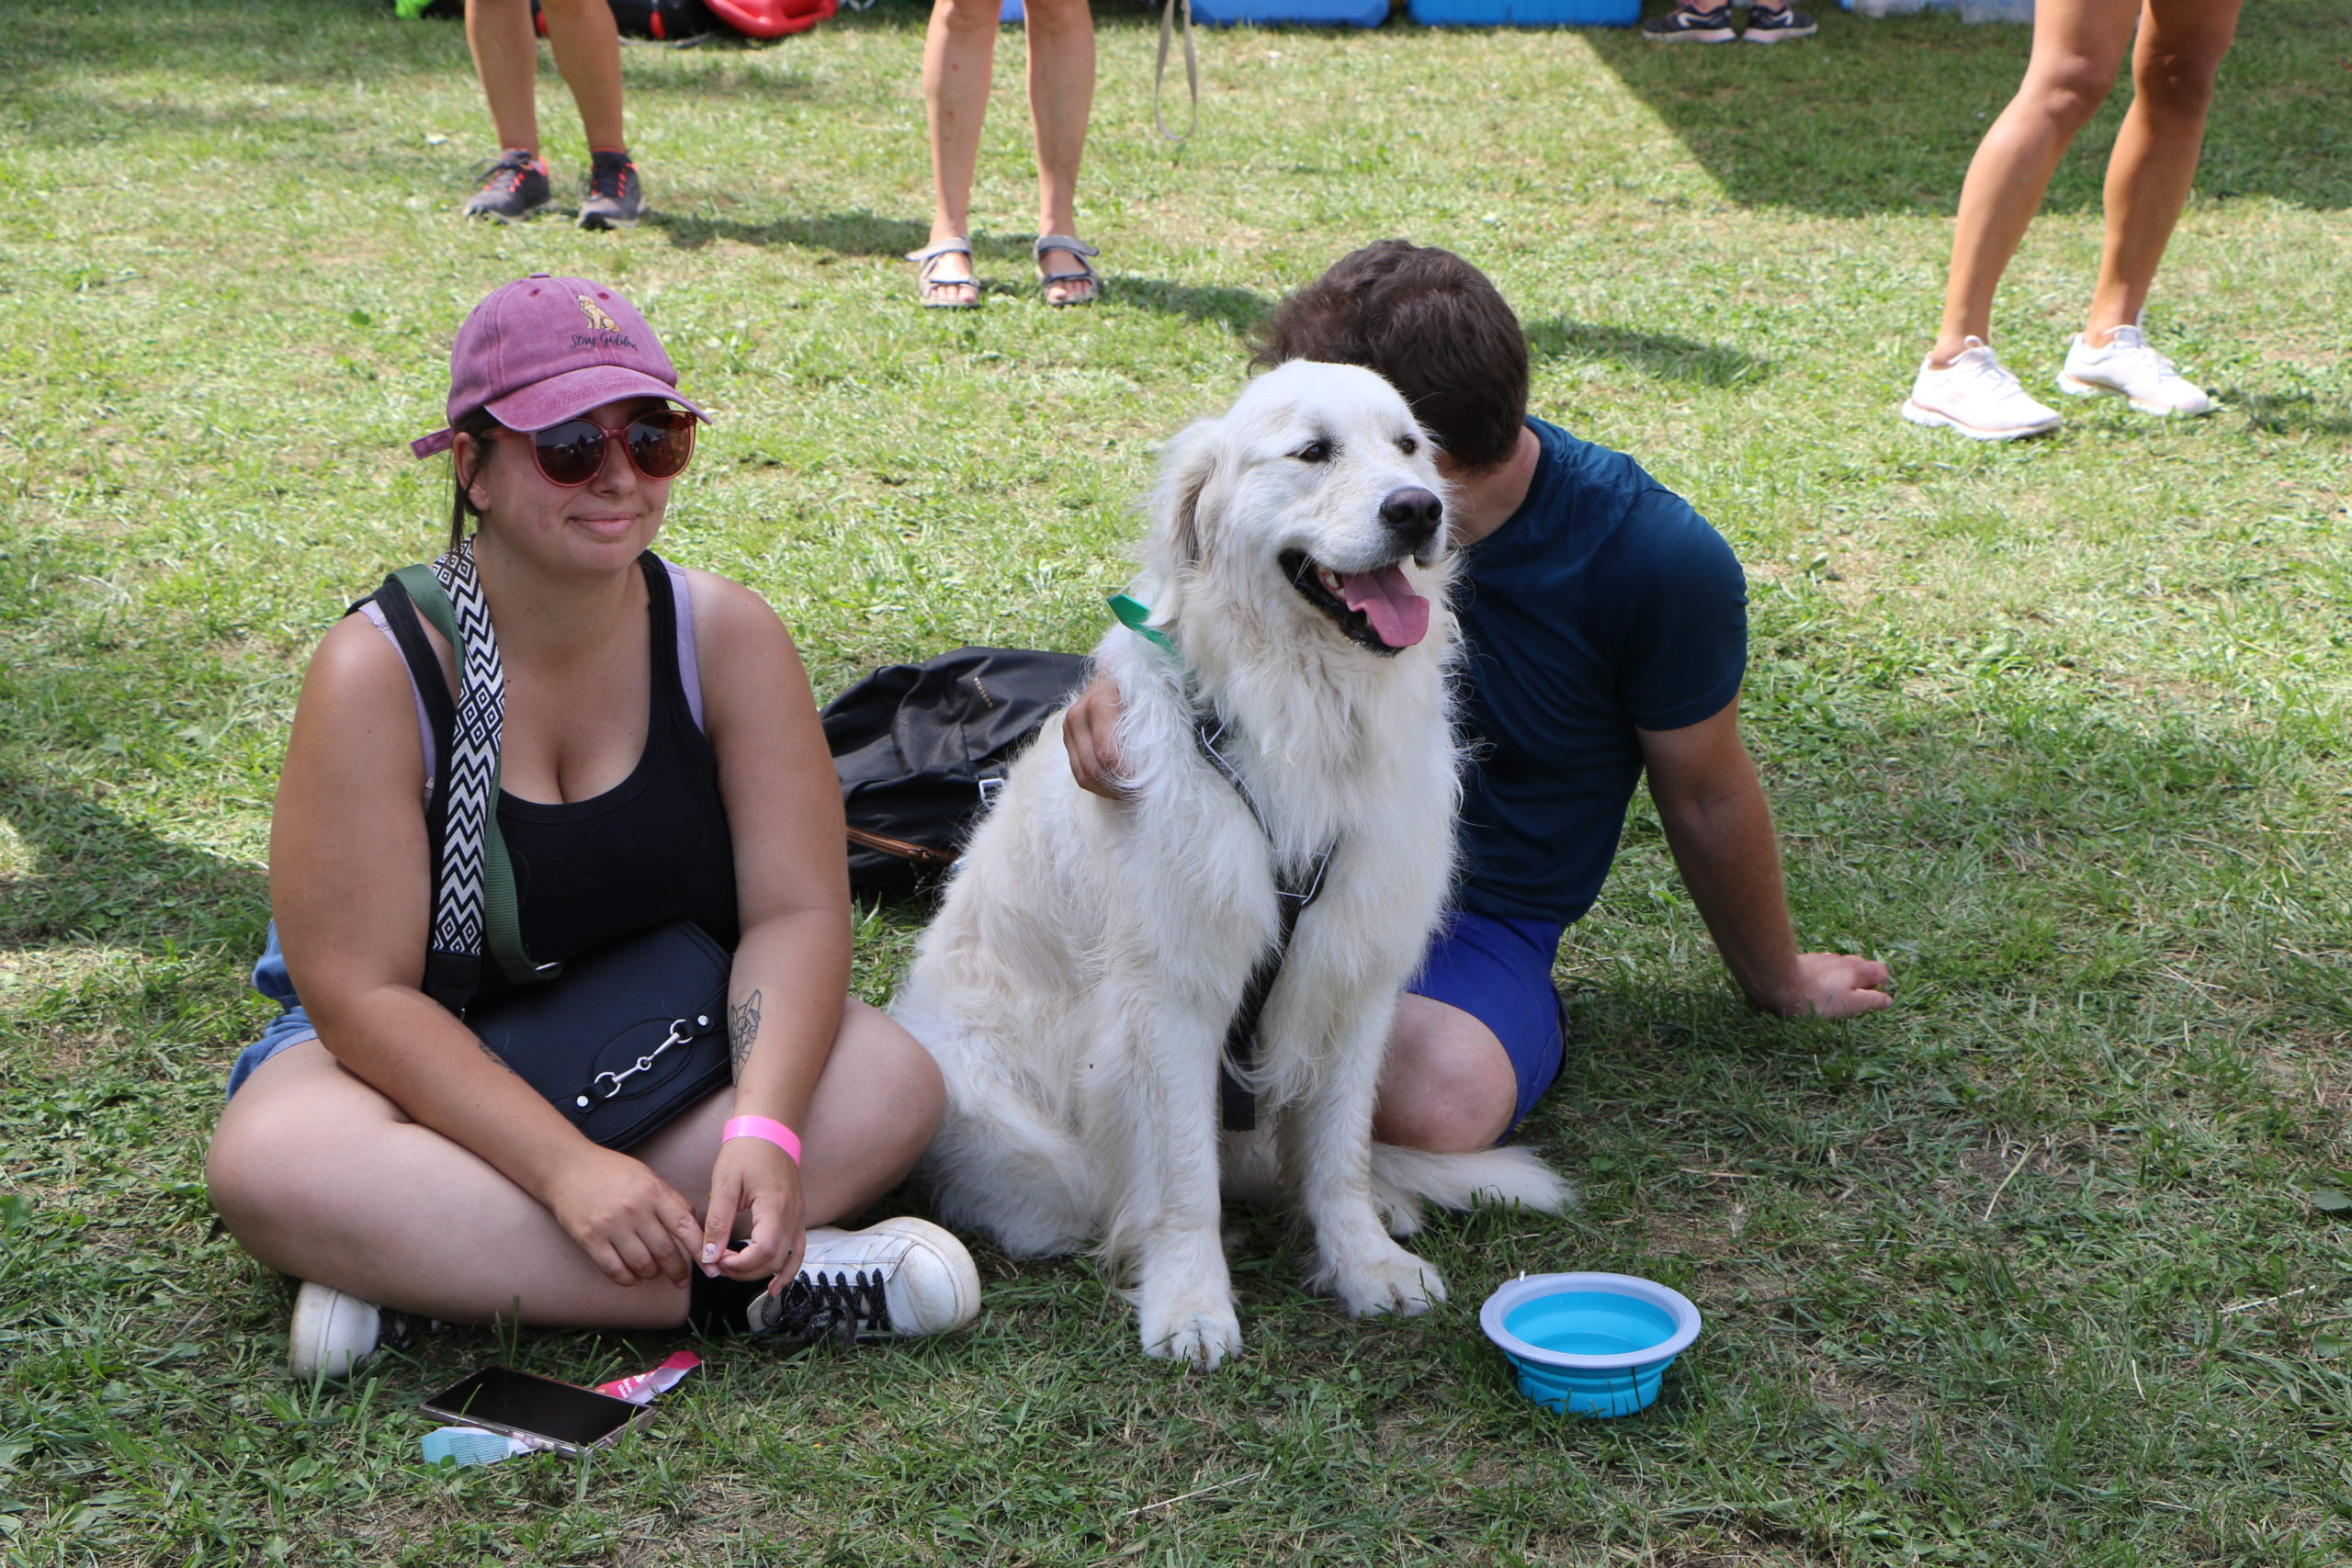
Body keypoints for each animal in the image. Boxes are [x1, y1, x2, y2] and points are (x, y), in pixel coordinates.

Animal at [893, 361, 1569, 1370]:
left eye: (1408, 446)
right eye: (1313, 451)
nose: (1415, 509)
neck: (1305, 710)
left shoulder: (1353, 973)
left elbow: (1338, 1153)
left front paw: (1364, 1260)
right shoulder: (1173, 997)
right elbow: (1181, 1182)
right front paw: (1189, 1303)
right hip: (1011, 1128)